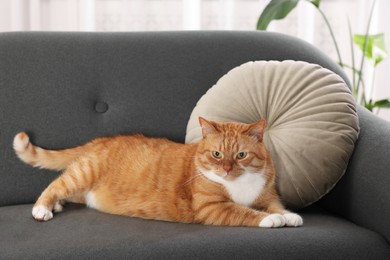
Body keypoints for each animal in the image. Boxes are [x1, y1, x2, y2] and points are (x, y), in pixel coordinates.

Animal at [13, 118, 302, 228]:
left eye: (241, 155)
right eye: (217, 154)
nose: (227, 169)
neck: (239, 184)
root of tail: (103, 140)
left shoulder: (267, 195)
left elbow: (275, 205)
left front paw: (288, 215)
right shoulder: (212, 208)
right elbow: (245, 212)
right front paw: (271, 219)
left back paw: (57, 205)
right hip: (84, 173)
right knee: (55, 185)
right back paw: (43, 208)